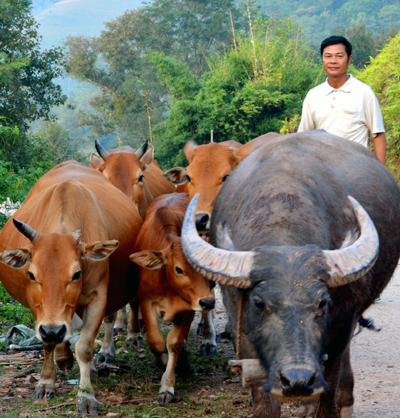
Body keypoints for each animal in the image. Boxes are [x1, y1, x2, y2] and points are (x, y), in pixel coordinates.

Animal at [0, 162, 142, 414]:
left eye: (76, 274)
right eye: (31, 274)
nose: (53, 329)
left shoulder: (97, 298)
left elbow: (84, 347)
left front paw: (86, 395)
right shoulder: (38, 308)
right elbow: (47, 343)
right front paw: (47, 382)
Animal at [130, 193, 214, 404]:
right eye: (179, 269)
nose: (208, 302)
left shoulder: (189, 308)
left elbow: (174, 342)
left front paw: (168, 384)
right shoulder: (147, 301)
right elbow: (156, 341)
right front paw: (163, 362)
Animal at [181, 129, 400, 416]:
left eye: (323, 303)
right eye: (259, 304)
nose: (298, 379)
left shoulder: (341, 325)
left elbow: (328, 387)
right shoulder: (244, 329)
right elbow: (264, 399)